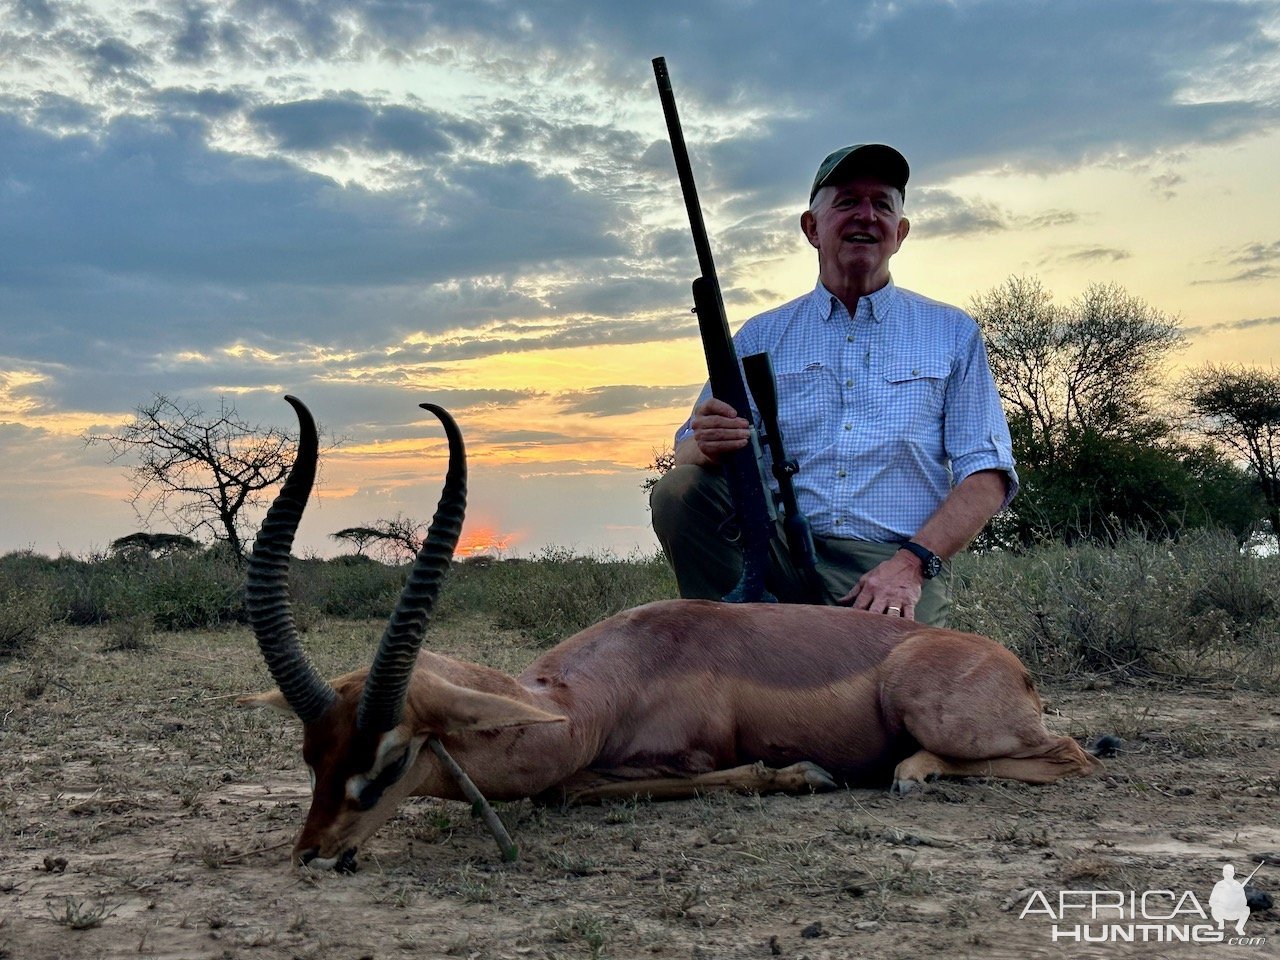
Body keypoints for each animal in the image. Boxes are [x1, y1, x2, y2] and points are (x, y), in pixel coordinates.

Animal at [241, 399, 1100, 870]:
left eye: (388, 758)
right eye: (311, 755)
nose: (312, 851)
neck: (594, 695)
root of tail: (1010, 665)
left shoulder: (679, 757)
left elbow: (578, 786)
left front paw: (802, 774)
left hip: (934, 705)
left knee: (1072, 755)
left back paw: (913, 772)